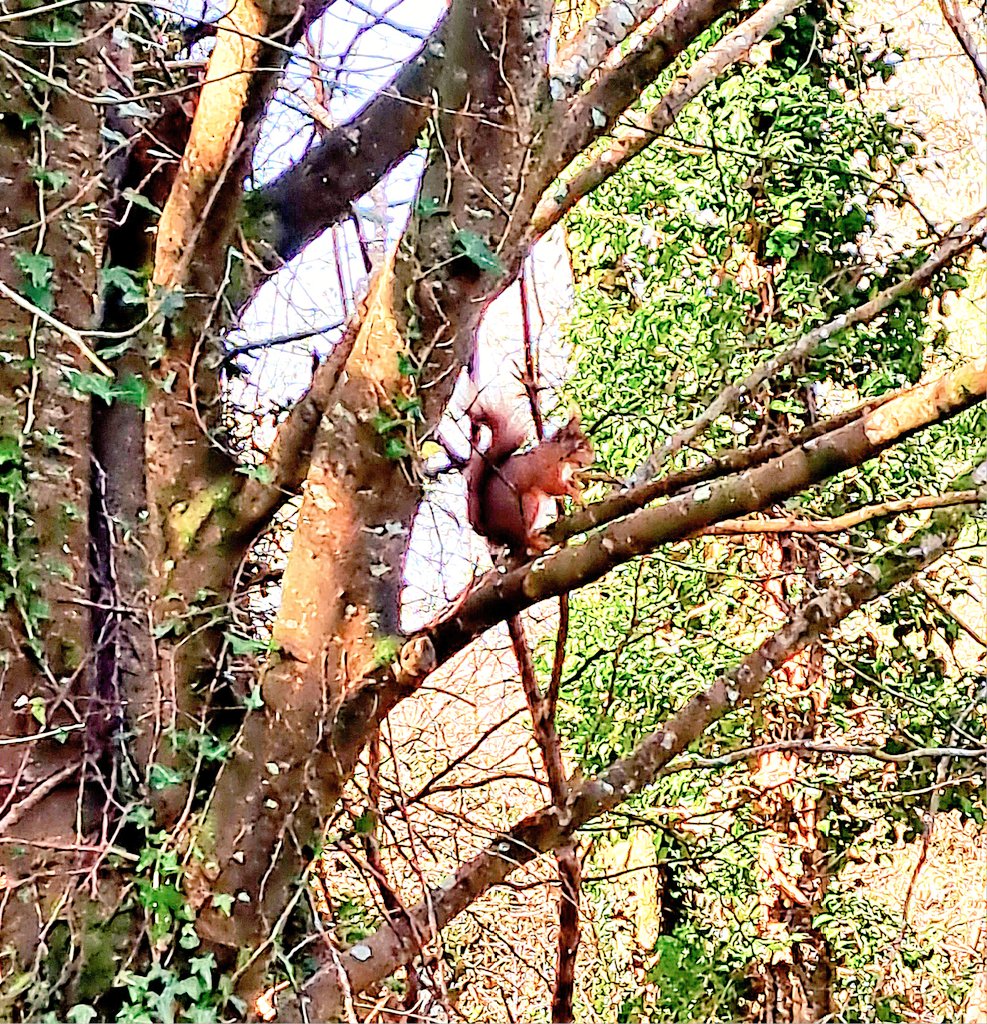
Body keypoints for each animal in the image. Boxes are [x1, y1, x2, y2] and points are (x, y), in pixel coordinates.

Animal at [464, 395, 593, 556]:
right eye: (580, 445)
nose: (593, 458)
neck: (558, 455)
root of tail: (491, 531)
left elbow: (567, 483)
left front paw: (579, 486)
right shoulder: (544, 473)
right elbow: (555, 487)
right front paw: (576, 494)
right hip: (528, 504)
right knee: (522, 538)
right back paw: (537, 542)